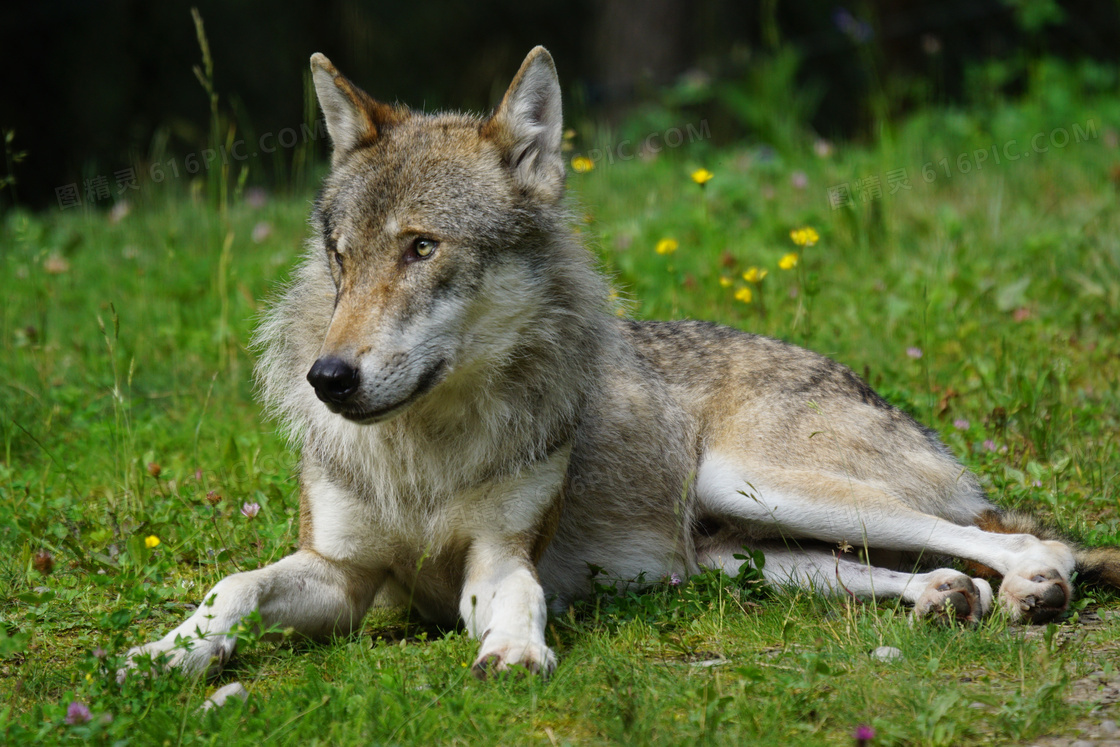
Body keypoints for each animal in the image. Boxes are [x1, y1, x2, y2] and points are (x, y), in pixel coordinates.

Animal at [122, 43, 1120, 680]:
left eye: (422, 248)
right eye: (340, 257)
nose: (327, 380)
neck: (425, 453)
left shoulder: (497, 559)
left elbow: (518, 599)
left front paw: (515, 651)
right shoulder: (339, 573)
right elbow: (233, 585)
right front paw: (166, 652)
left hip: (756, 481)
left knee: (1025, 540)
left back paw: (1031, 587)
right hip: (740, 551)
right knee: (930, 567)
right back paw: (948, 597)